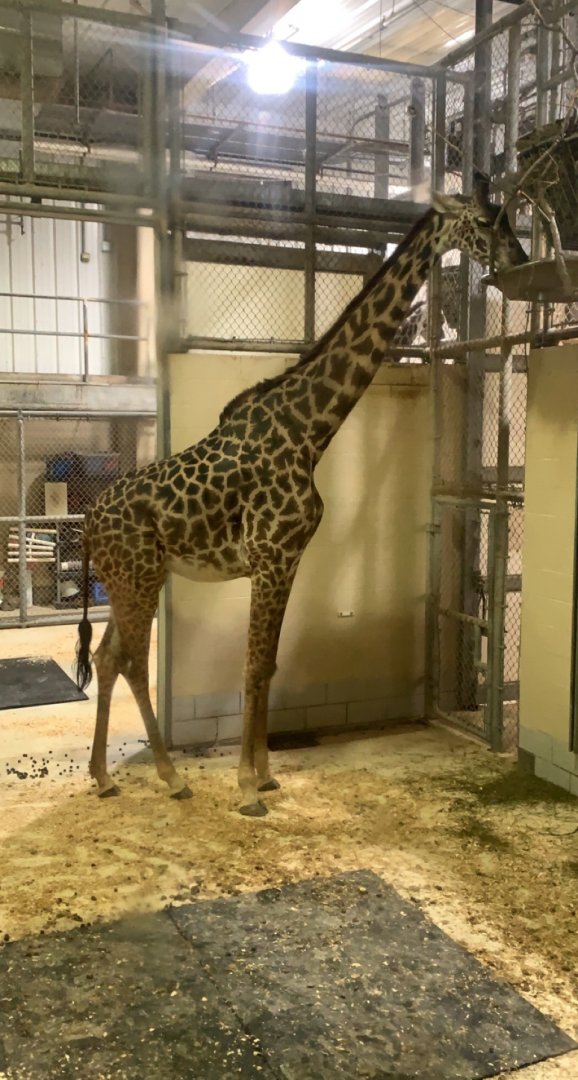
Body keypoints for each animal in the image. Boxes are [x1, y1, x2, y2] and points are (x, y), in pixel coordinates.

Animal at [76, 183, 527, 816]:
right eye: (487, 220)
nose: (516, 260)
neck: (310, 430)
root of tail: (89, 520)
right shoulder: (270, 556)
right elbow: (251, 665)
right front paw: (245, 786)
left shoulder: (289, 559)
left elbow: (266, 665)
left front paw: (265, 775)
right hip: (139, 577)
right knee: (136, 662)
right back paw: (171, 777)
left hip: (129, 579)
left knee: (107, 657)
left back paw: (103, 776)